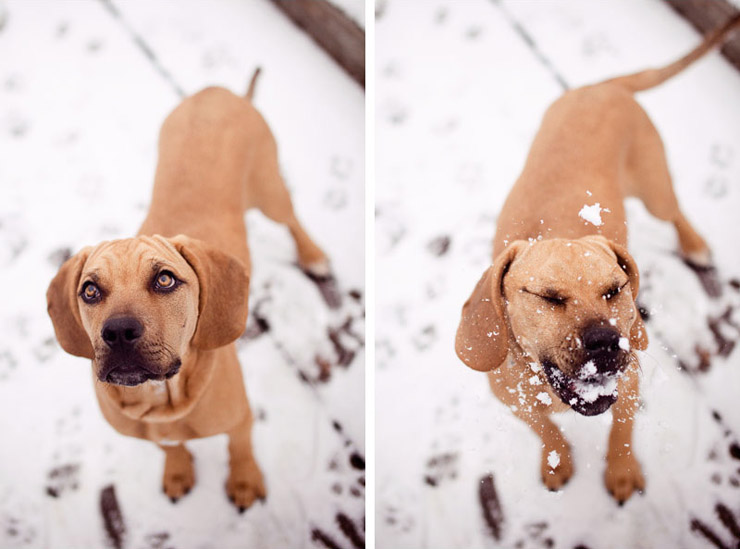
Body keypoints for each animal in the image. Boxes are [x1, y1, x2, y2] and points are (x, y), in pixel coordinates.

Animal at [47, 70, 334, 512]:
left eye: (165, 280)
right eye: (90, 290)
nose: (118, 332)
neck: (162, 401)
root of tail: (220, 93)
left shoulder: (241, 419)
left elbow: (240, 448)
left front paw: (244, 480)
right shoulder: (155, 433)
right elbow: (172, 447)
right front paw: (178, 471)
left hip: (270, 190)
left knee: (291, 219)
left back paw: (312, 254)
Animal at [456, 15, 740, 504]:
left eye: (615, 290)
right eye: (548, 297)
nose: (608, 342)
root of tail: (602, 86)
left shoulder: (629, 385)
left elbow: (621, 431)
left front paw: (621, 470)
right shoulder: (516, 404)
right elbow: (546, 431)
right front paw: (557, 459)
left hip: (655, 189)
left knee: (675, 211)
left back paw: (693, 243)